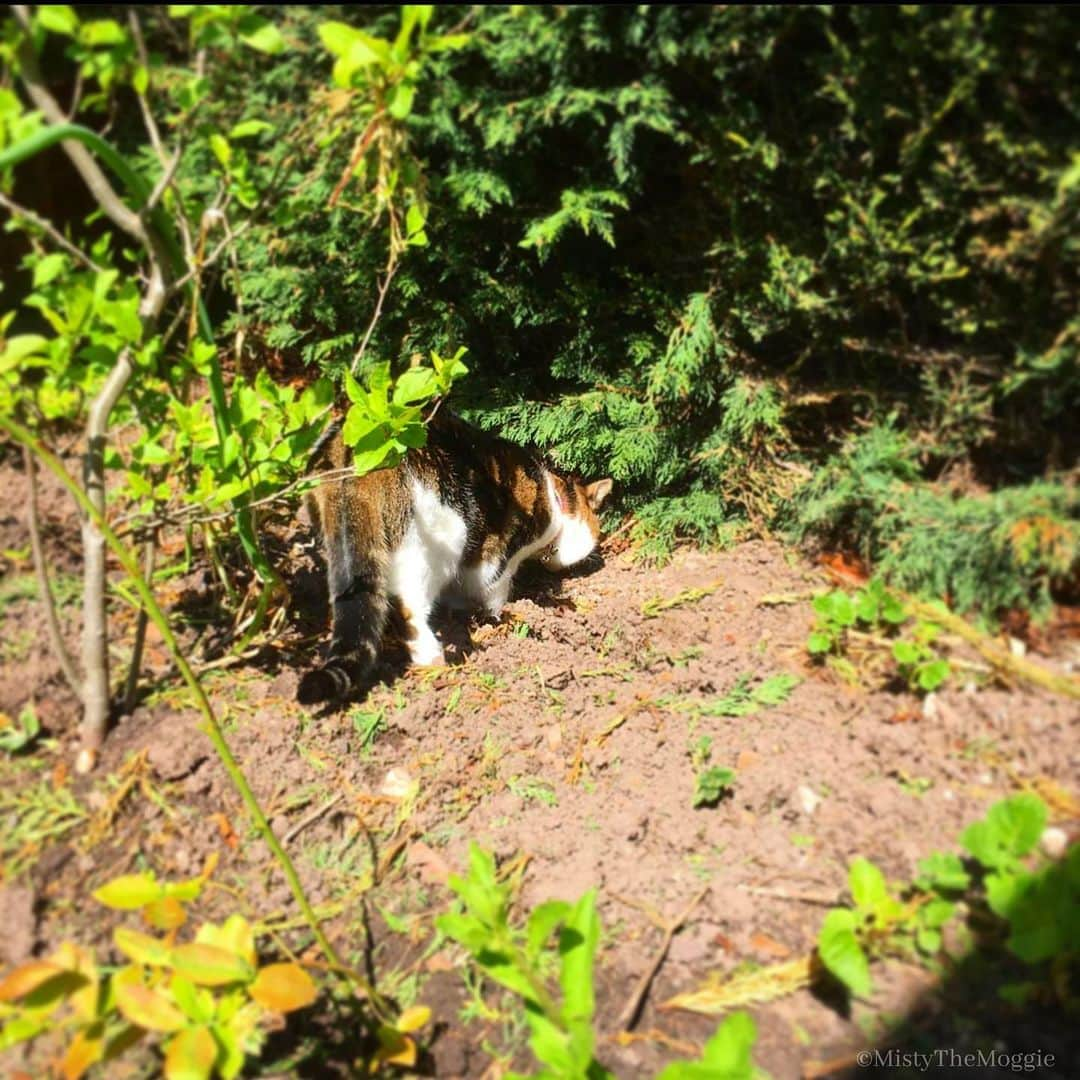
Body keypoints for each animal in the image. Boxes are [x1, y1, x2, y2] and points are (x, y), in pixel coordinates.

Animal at [295, 408, 613, 704]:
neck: (552, 495)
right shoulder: (497, 554)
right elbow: (493, 587)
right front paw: (495, 615)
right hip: (438, 537)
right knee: (407, 603)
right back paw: (432, 656)